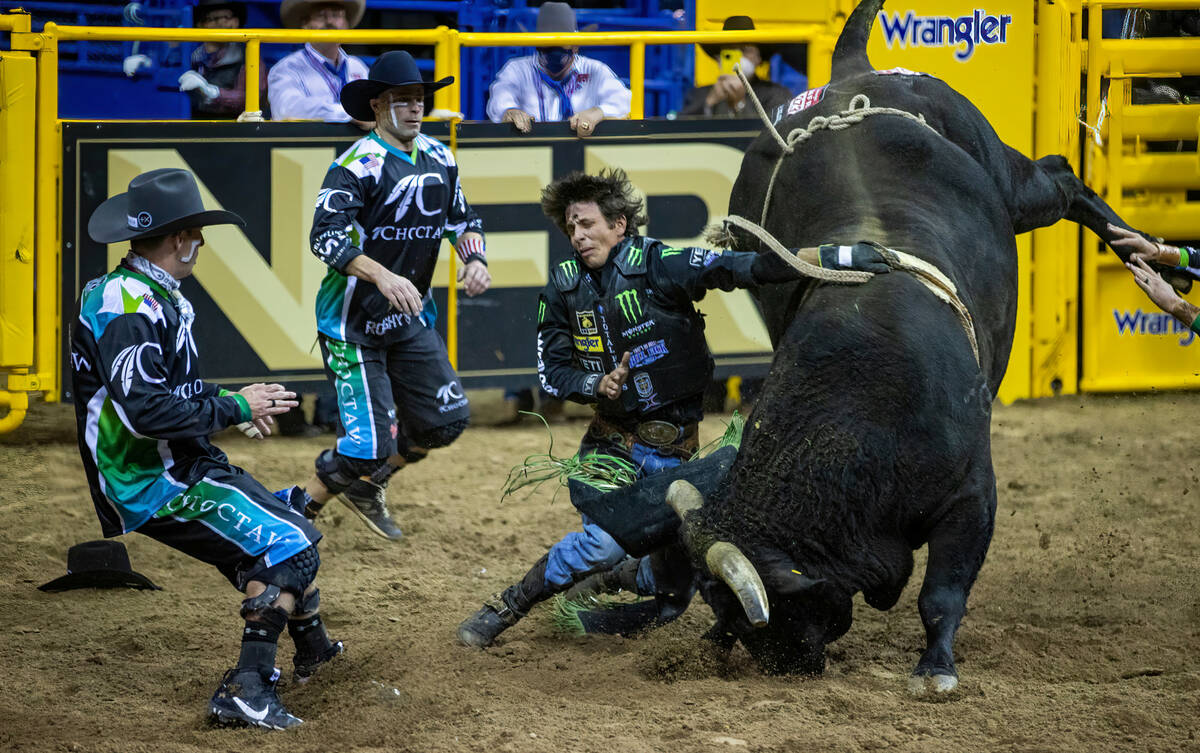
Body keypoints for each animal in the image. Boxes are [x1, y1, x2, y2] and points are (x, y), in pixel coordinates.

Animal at [573, 0, 1161, 695]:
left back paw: (1153, 259)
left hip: (1012, 183)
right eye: (730, 612)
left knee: (1065, 180)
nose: (786, 667)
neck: (861, 411)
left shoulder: (972, 495)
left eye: (768, 616)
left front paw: (935, 669)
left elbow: (942, 592)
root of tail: (852, 72)